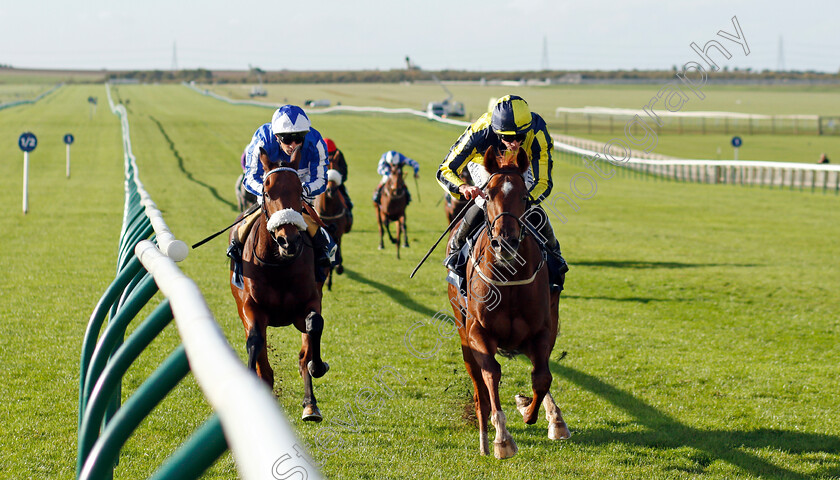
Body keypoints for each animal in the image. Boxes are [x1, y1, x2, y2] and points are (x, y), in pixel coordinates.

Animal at [233, 148, 334, 422]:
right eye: (267, 192)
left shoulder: (308, 304)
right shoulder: (251, 307)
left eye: (299, 191)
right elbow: (255, 342)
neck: (278, 264)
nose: (288, 240)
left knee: (304, 351)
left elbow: (314, 325)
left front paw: (317, 366)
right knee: (264, 365)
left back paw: (310, 405)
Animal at [446, 145, 572, 458]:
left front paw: (529, 409)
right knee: (478, 384)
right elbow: (491, 374)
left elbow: (542, 377)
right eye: (487, 195)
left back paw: (553, 417)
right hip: (462, 330)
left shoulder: (542, 330)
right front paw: (501, 438)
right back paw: (483, 433)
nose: (506, 244)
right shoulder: (477, 332)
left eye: (525, 197)